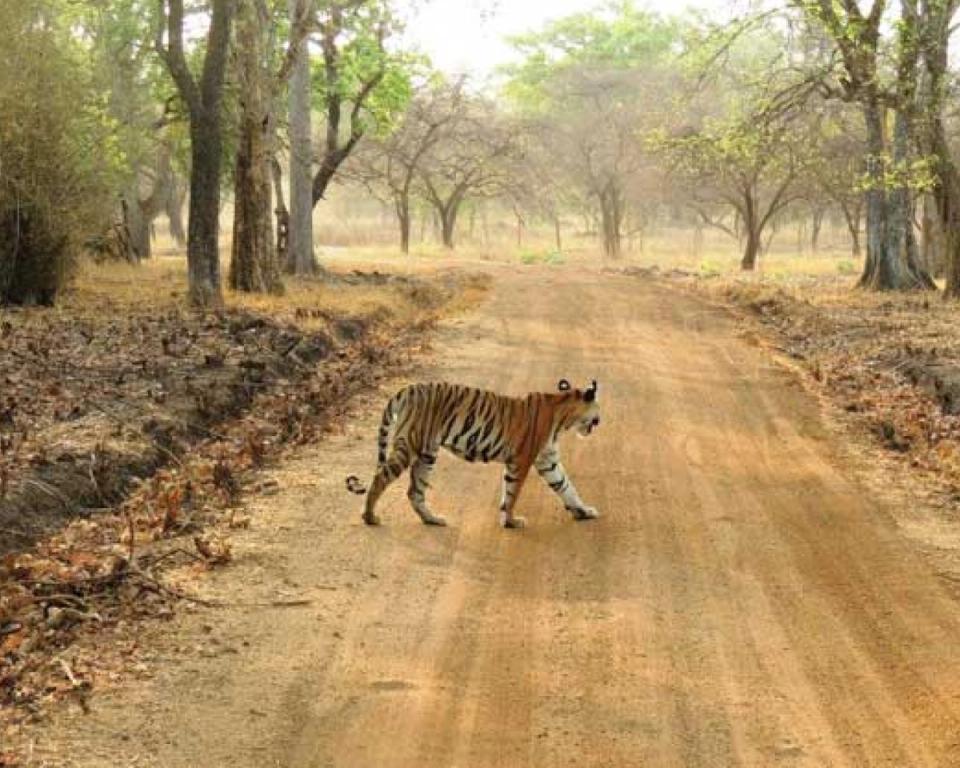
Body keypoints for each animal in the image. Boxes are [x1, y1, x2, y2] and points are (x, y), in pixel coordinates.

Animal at [344, 378, 600, 528]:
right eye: (598, 409)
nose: (601, 420)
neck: (563, 418)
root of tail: (406, 389)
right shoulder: (522, 460)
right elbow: (513, 492)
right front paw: (511, 521)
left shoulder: (547, 460)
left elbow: (566, 486)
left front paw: (584, 511)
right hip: (410, 444)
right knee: (381, 477)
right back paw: (369, 517)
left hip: (427, 453)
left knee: (414, 491)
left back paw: (433, 519)